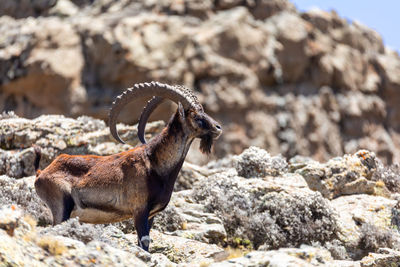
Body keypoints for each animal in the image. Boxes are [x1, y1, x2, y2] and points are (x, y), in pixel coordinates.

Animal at [34, 81, 222, 251]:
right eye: (196, 116)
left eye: (203, 111)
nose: (218, 127)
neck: (154, 164)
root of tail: (41, 173)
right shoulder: (139, 211)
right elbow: (144, 242)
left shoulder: (151, 215)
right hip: (61, 207)